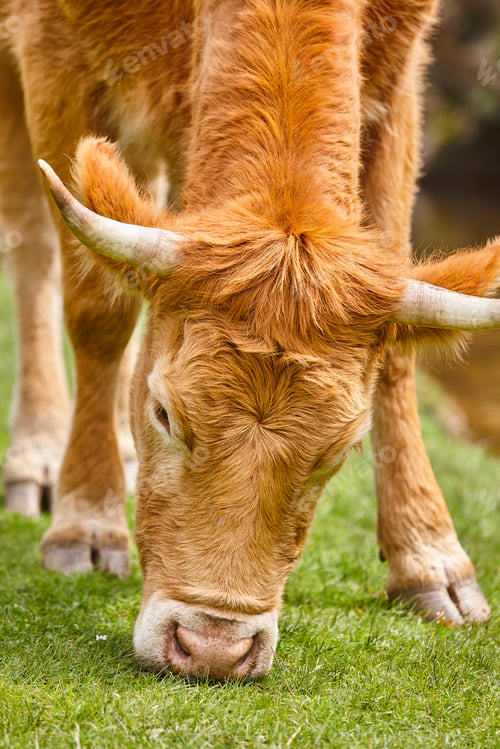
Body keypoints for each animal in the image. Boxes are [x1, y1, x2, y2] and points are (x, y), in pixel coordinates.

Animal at [1, 0, 499, 681]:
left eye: (340, 451)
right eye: (164, 412)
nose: (213, 647)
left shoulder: (400, 68)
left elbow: (398, 348)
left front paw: (429, 556)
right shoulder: (52, 47)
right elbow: (97, 309)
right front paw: (86, 523)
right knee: (31, 241)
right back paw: (40, 458)